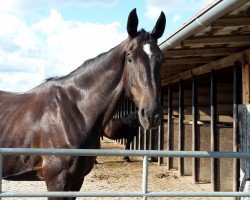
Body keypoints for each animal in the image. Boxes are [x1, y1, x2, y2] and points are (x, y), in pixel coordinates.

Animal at [0, 8, 166, 199]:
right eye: (130, 58)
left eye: (161, 59)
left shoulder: (76, 180)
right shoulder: (57, 181)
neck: (75, 110)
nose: (152, 115)